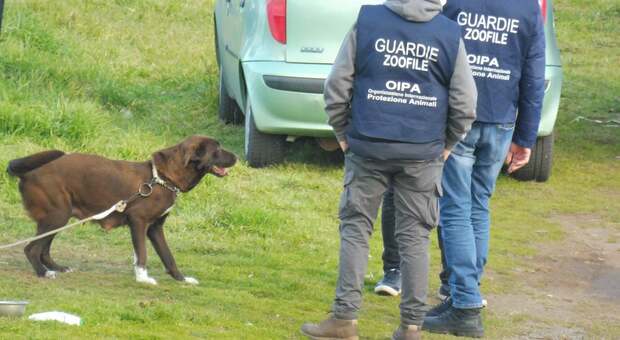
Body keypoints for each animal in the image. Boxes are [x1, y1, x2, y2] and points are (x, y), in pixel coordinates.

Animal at [8, 135, 236, 284]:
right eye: (217, 149)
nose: (237, 158)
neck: (162, 179)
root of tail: (28, 172)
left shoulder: (155, 228)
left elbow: (168, 256)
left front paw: (181, 279)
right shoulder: (139, 221)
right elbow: (142, 254)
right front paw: (143, 278)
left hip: (58, 218)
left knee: (43, 249)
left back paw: (56, 267)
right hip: (57, 216)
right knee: (31, 249)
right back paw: (43, 273)